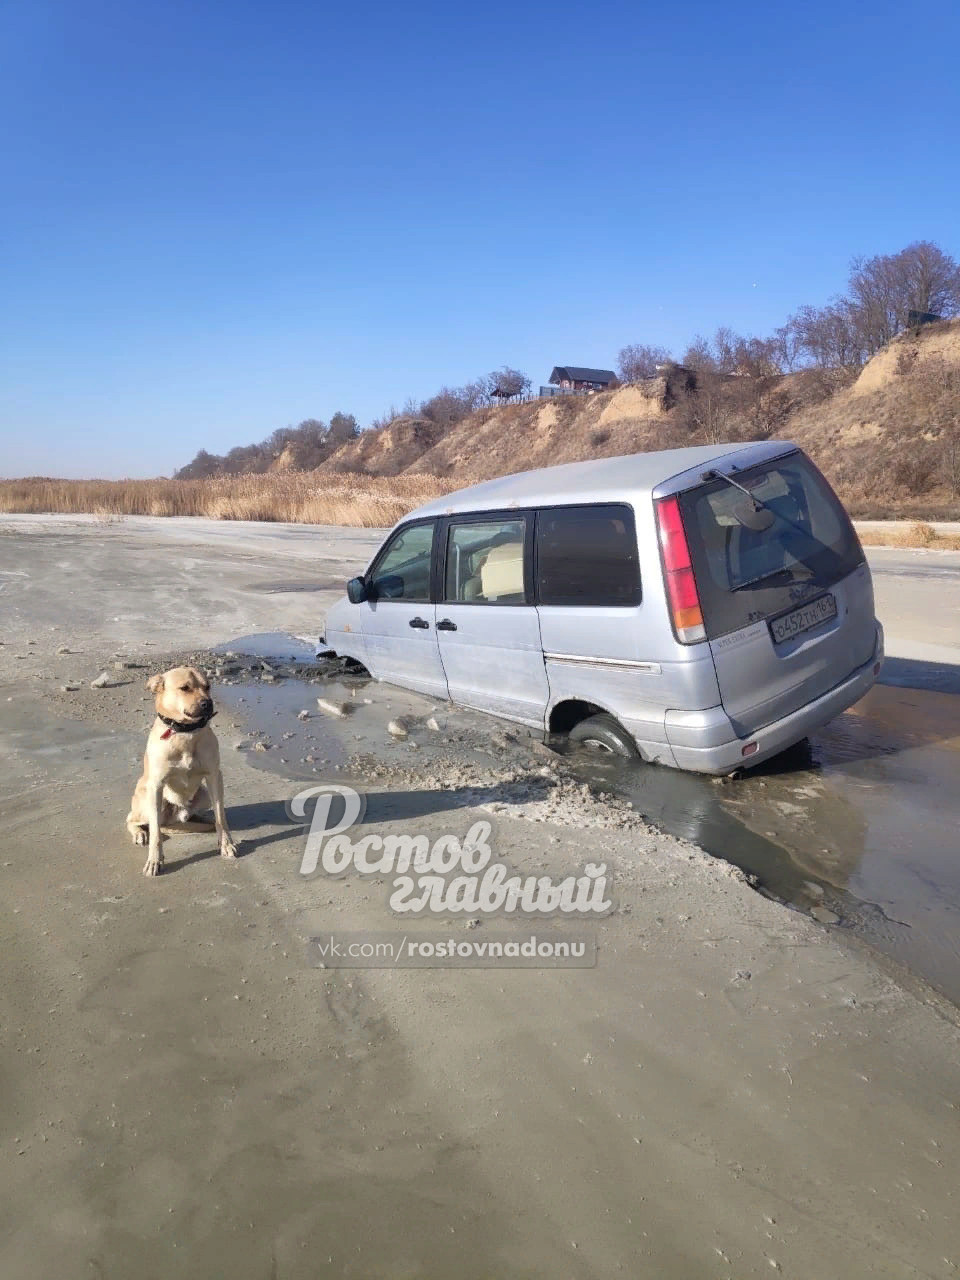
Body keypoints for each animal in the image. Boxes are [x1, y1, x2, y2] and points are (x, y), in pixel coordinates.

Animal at [126, 665, 239, 875]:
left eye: (207, 686)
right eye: (185, 688)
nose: (208, 703)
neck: (185, 733)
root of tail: (173, 818)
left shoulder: (214, 776)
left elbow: (221, 817)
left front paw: (226, 844)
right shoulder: (156, 786)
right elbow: (156, 832)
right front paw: (154, 860)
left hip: (203, 793)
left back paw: (200, 819)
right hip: (147, 798)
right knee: (134, 820)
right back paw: (139, 833)